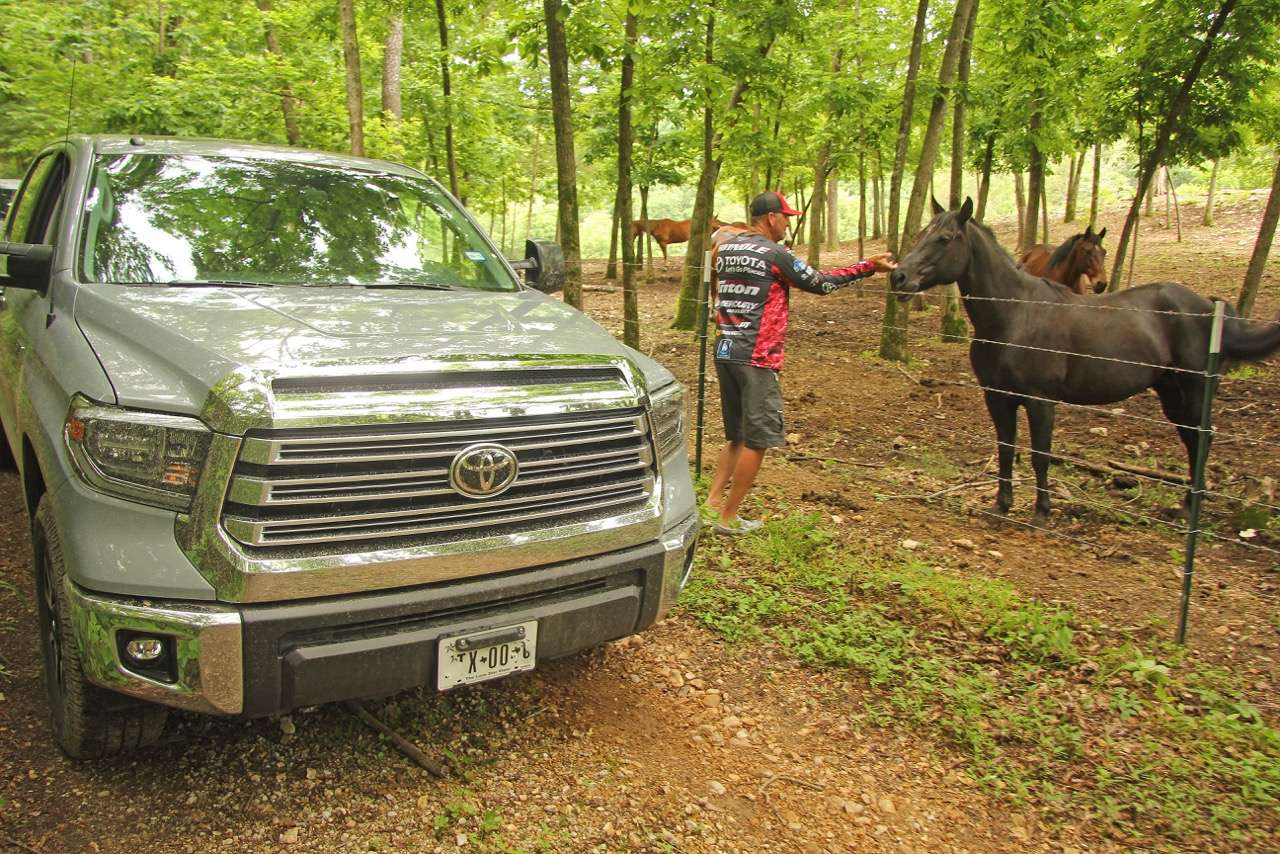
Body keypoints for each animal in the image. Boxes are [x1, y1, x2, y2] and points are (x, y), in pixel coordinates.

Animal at [890, 197, 1280, 524]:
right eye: (923, 233)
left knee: (1202, 440)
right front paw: (1001, 506)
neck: (1015, 316)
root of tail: (1208, 308)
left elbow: (1040, 455)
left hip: (1194, 389)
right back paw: (1184, 507)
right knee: (1192, 440)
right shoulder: (997, 398)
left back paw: (1190, 507)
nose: (898, 276)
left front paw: (1041, 513)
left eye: (945, 238)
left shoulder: (1040, 401)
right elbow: (1005, 449)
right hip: (1171, 392)